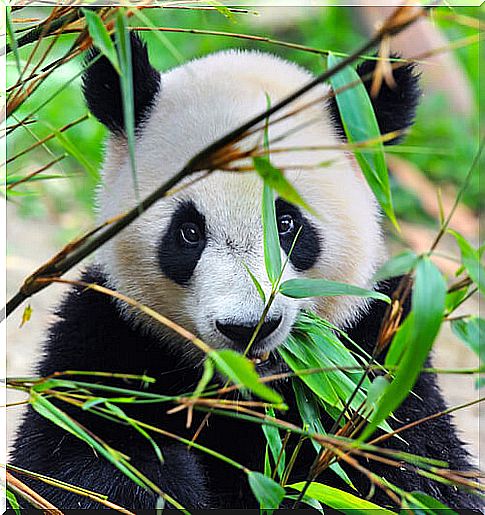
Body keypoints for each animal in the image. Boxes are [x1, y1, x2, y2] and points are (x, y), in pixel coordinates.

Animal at [8, 36, 480, 512]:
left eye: (287, 223)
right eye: (189, 232)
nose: (248, 327)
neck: (245, 388)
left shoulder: (379, 354)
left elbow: (416, 470)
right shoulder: (107, 335)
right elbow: (75, 461)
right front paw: (167, 486)